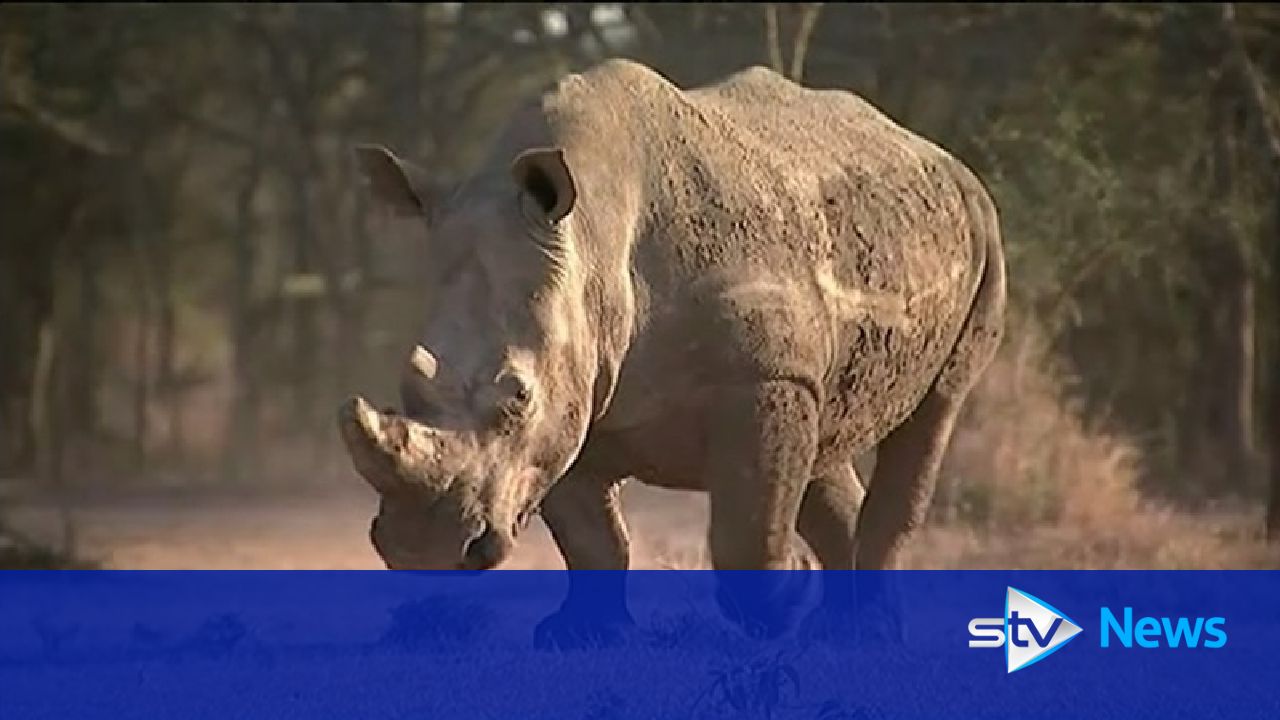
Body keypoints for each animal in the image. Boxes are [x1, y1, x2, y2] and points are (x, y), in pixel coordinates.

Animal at [340, 58, 1008, 638]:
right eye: (408, 384)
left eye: (517, 398)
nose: (421, 549)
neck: (592, 244)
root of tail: (936, 153)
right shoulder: (578, 394)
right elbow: (593, 543)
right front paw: (580, 637)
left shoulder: (763, 378)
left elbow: (748, 525)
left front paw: (786, 598)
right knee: (828, 432)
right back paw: (849, 629)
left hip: (984, 232)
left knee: (934, 413)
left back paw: (863, 628)